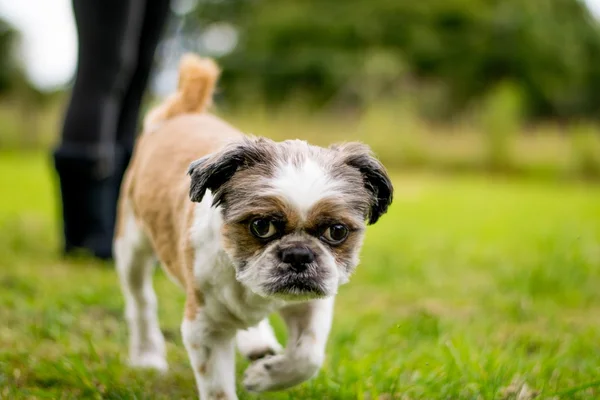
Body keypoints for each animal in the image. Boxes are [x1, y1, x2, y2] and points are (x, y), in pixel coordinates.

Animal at [113, 54, 394, 400]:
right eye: (261, 226)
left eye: (337, 232)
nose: (299, 254)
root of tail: (181, 113)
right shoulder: (204, 327)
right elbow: (218, 389)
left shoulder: (313, 305)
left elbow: (307, 357)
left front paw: (263, 376)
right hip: (131, 248)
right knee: (141, 302)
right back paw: (147, 356)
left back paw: (258, 343)